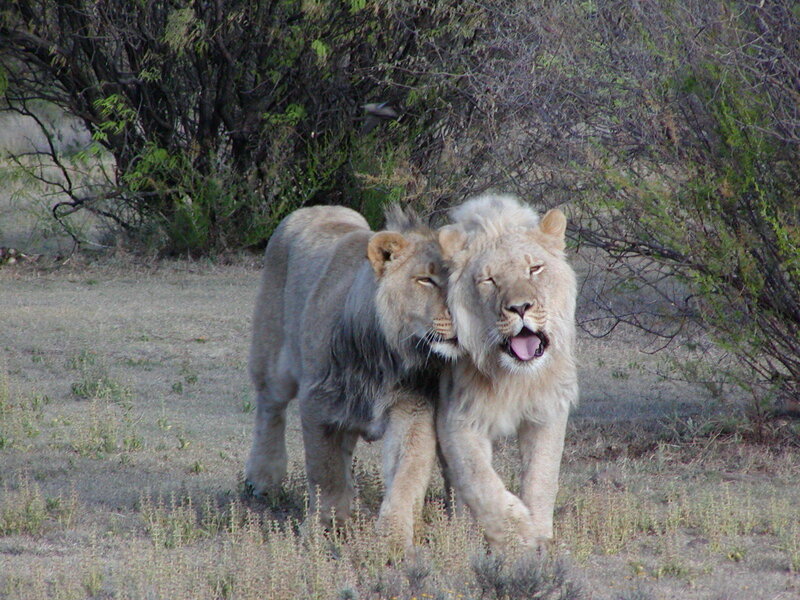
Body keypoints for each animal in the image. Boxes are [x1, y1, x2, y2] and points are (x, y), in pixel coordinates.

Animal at [246, 204, 459, 547]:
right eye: (425, 280)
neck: (386, 355)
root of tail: (314, 207)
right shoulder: (318, 402)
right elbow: (326, 471)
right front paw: (325, 528)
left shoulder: (412, 406)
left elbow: (408, 471)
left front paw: (393, 538)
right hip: (272, 360)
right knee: (270, 409)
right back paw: (263, 480)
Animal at [436, 193, 578, 550]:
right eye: (489, 280)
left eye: (535, 268)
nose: (520, 307)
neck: (515, 378)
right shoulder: (457, 416)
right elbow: (478, 480)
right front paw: (518, 535)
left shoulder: (548, 410)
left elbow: (542, 476)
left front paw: (540, 534)